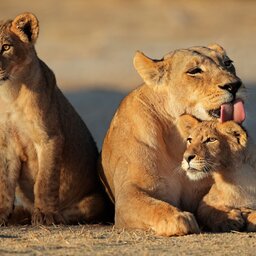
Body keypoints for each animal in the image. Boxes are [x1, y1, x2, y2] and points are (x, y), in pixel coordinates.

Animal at [0, 12, 108, 224]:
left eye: (6, 47)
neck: (10, 93)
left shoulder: (50, 137)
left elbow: (45, 180)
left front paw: (45, 214)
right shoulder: (6, 144)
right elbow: (4, 184)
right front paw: (1, 213)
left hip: (97, 199)